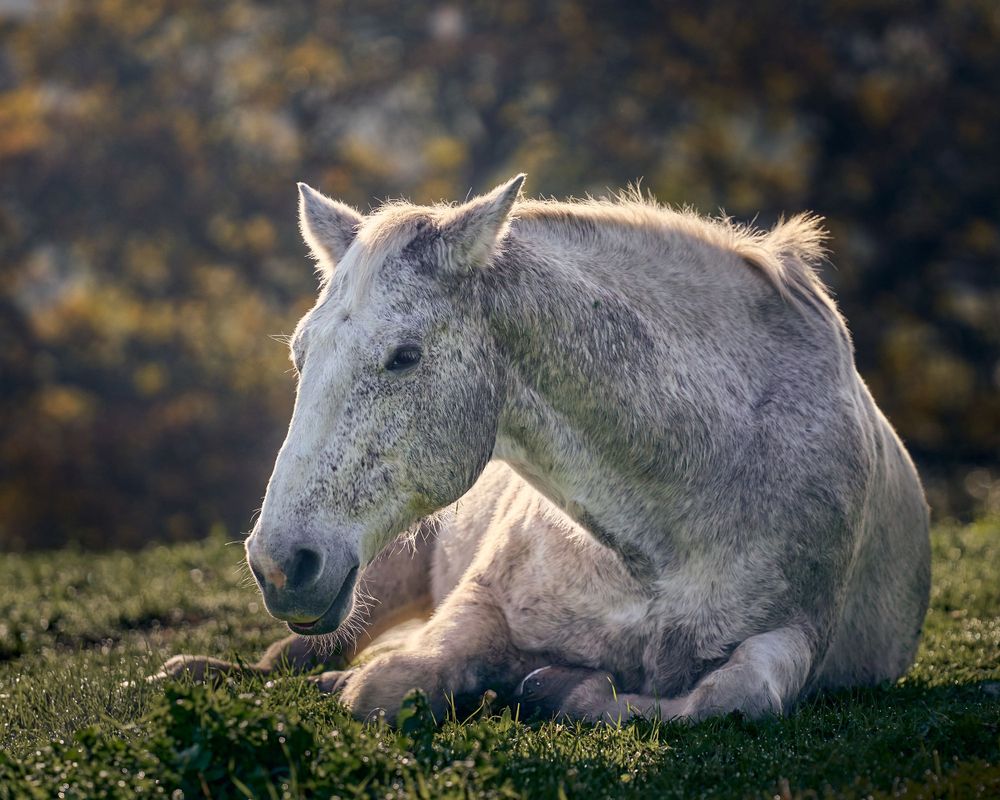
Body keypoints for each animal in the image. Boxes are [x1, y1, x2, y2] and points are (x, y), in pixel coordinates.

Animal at [161, 175, 930, 723]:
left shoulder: (797, 632)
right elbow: (389, 686)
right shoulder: (479, 605)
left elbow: (732, 699)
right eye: (300, 353)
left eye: (405, 357)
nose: (280, 563)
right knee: (293, 653)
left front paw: (556, 689)